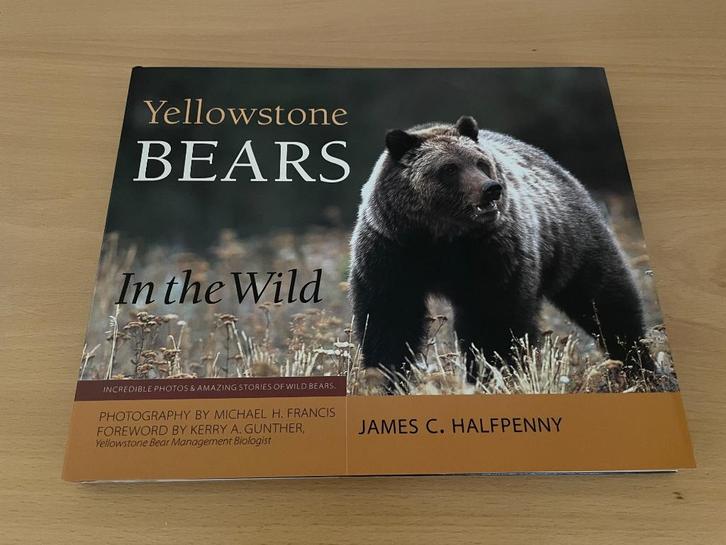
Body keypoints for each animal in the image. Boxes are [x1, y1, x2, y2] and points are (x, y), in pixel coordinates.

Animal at [349, 115, 655, 387]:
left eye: (480, 163)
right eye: (449, 168)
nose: (490, 189)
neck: (441, 237)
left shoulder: (493, 253)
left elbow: (494, 322)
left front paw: (491, 374)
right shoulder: (392, 252)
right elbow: (389, 321)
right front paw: (385, 379)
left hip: (572, 241)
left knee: (607, 302)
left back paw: (641, 366)